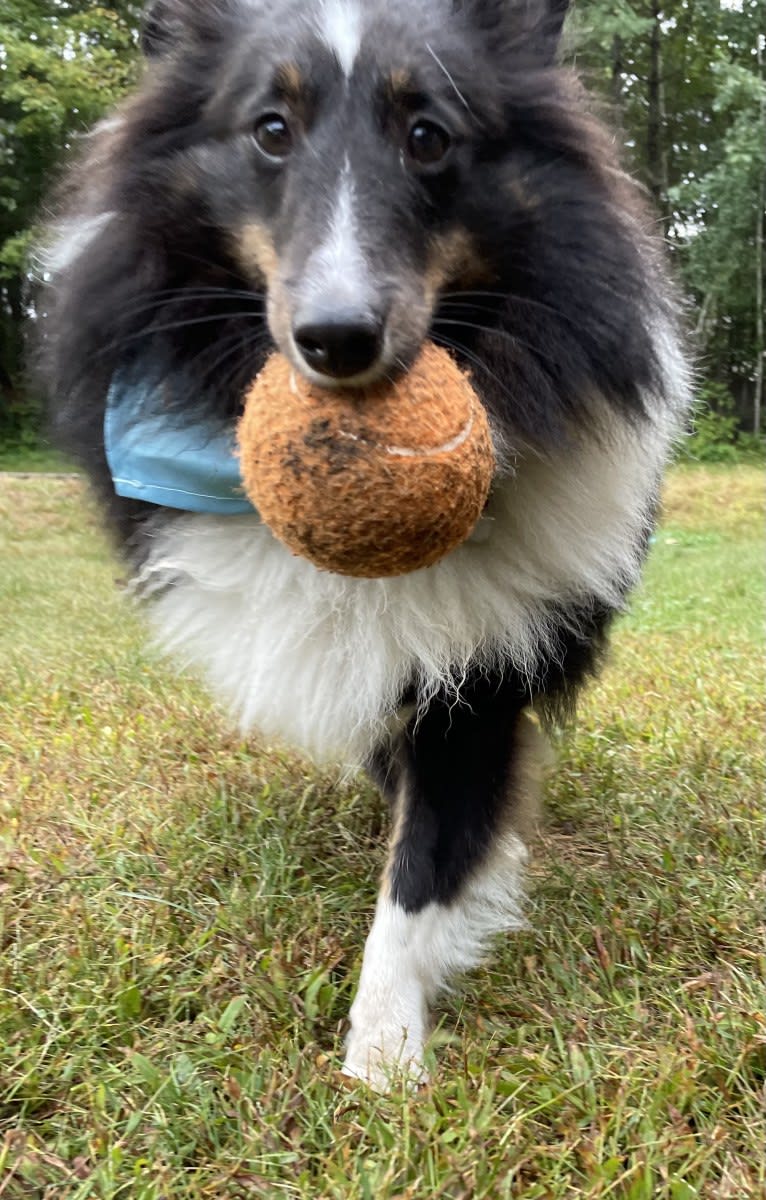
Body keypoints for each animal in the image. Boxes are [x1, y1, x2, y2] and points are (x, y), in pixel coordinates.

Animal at [34, 0, 691, 1089]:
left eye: (429, 136)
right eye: (269, 130)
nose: (335, 339)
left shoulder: (478, 673)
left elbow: (423, 866)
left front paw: (383, 1057)